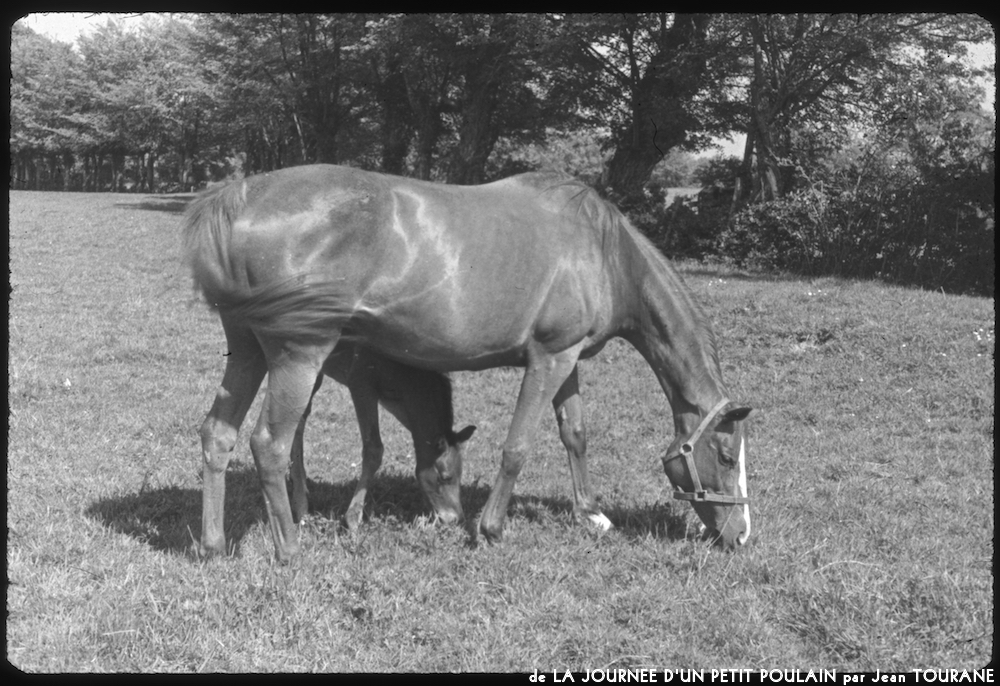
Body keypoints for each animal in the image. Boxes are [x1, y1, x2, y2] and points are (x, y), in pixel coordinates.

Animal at [290, 346, 476, 536]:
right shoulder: (361, 384)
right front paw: (352, 519)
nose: (455, 520)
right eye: (445, 477)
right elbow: (374, 449)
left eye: (460, 474)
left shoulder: (395, 399)